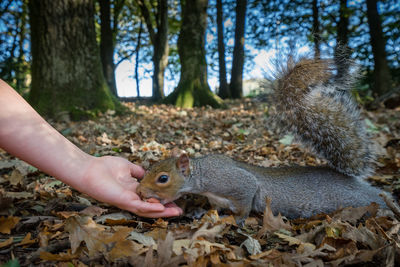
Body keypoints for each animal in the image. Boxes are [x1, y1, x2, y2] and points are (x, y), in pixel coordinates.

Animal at [136, 57, 386, 226]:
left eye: (163, 178)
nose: (139, 191)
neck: (203, 174)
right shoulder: (216, 199)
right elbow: (215, 208)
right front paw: (202, 213)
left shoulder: (239, 185)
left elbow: (244, 206)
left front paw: (237, 221)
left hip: (357, 201)